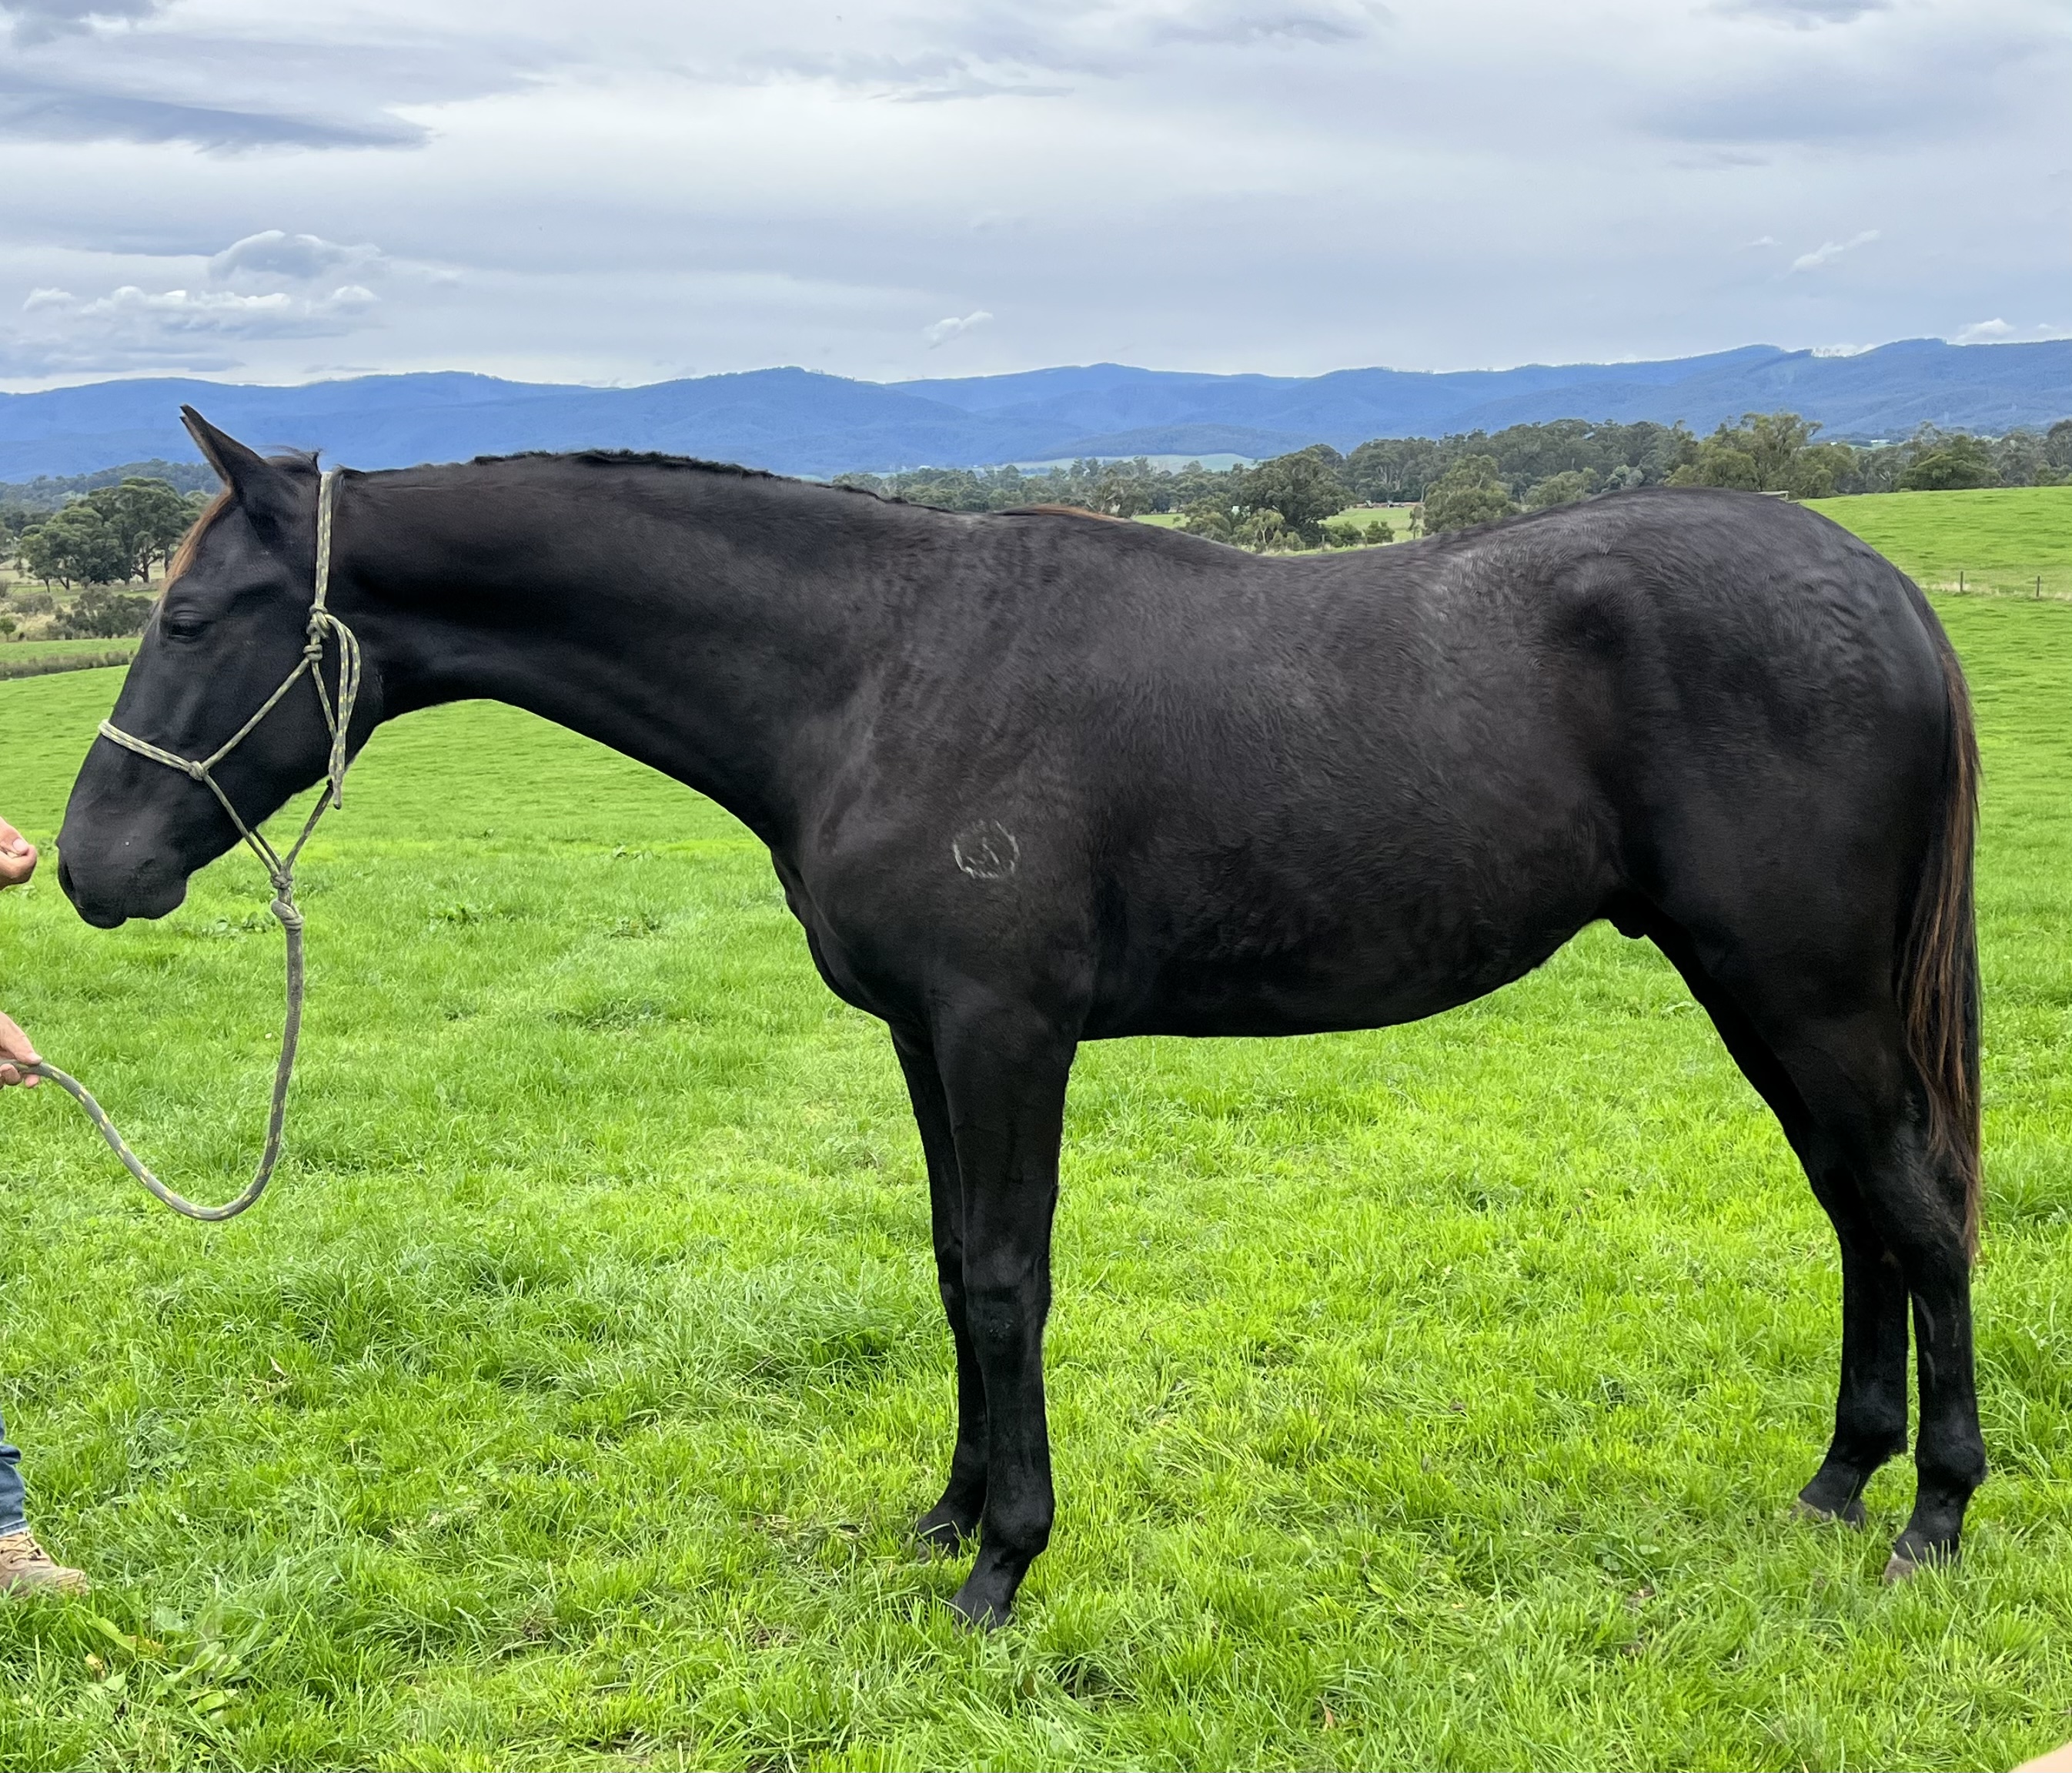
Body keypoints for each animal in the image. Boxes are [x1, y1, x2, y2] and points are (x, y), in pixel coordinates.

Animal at [56, 409, 1984, 1628]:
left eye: (195, 611)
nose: (88, 862)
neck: (876, 665)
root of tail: (1879, 587)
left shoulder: (1003, 1029)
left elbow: (1004, 1275)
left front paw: (1003, 1563)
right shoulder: (923, 1034)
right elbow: (942, 1262)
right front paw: (944, 1511)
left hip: (1799, 985)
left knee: (1912, 1207)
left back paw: (1933, 1513)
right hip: (1763, 992)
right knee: (1855, 1212)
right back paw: (1837, 1478)